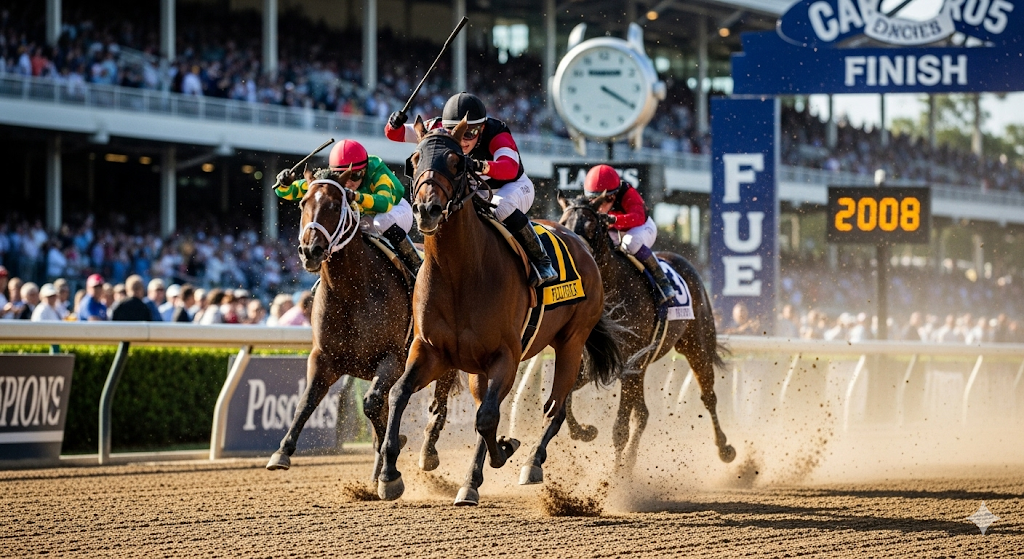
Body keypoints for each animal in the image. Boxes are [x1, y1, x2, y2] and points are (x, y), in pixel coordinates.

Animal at [265, 167, 457, 481]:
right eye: (303, 203)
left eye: (334, 205)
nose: (310, 251)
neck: (351, 292)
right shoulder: (324, 358)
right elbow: (307, 401)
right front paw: (281, 452)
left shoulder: (393, 358)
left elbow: (372, 402)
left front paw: (391, 459)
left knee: (438, 403)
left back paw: (427, 453)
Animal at [375, 118, 625, 506]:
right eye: (414, 160)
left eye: (456, 161)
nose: (427, 210)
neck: (459, 272)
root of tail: (581, 243)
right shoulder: (430, 350)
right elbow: (399, 393)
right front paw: (389, 475)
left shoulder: (505, 355)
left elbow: (487, 417)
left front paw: (488, 466)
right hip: (480, 368)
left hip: (571, 342)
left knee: (554, 408)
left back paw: (531, 463)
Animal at [558, 192, 735, 472]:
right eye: (563, 223)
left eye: (591, 225)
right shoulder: (594, 362)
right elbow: (565, 398)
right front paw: (584, 432)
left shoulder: (630, 363)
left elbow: (620, 428)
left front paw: (615, 477)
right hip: (644, 365)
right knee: (643, 414)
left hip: (695, 345)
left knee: (708, 397)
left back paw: (725, 449)